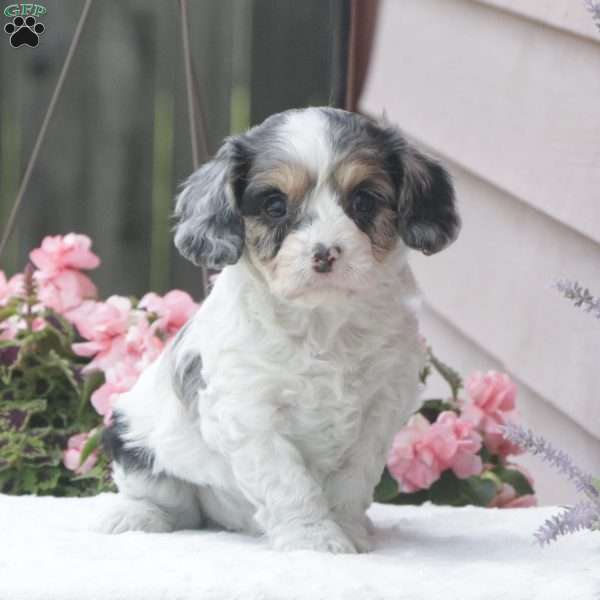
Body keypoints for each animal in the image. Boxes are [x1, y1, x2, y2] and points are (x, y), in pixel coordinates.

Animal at [101, 106, 462, 552]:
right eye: (275, 205)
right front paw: (315, 539)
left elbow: (352, 481)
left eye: (363, 200)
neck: (322, 324)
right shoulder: (251, 413)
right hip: (132, 437)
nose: (325, 253)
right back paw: (135, 516)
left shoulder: (381, 409)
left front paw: (349, 531)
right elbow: (289, 482)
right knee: (171, 505)